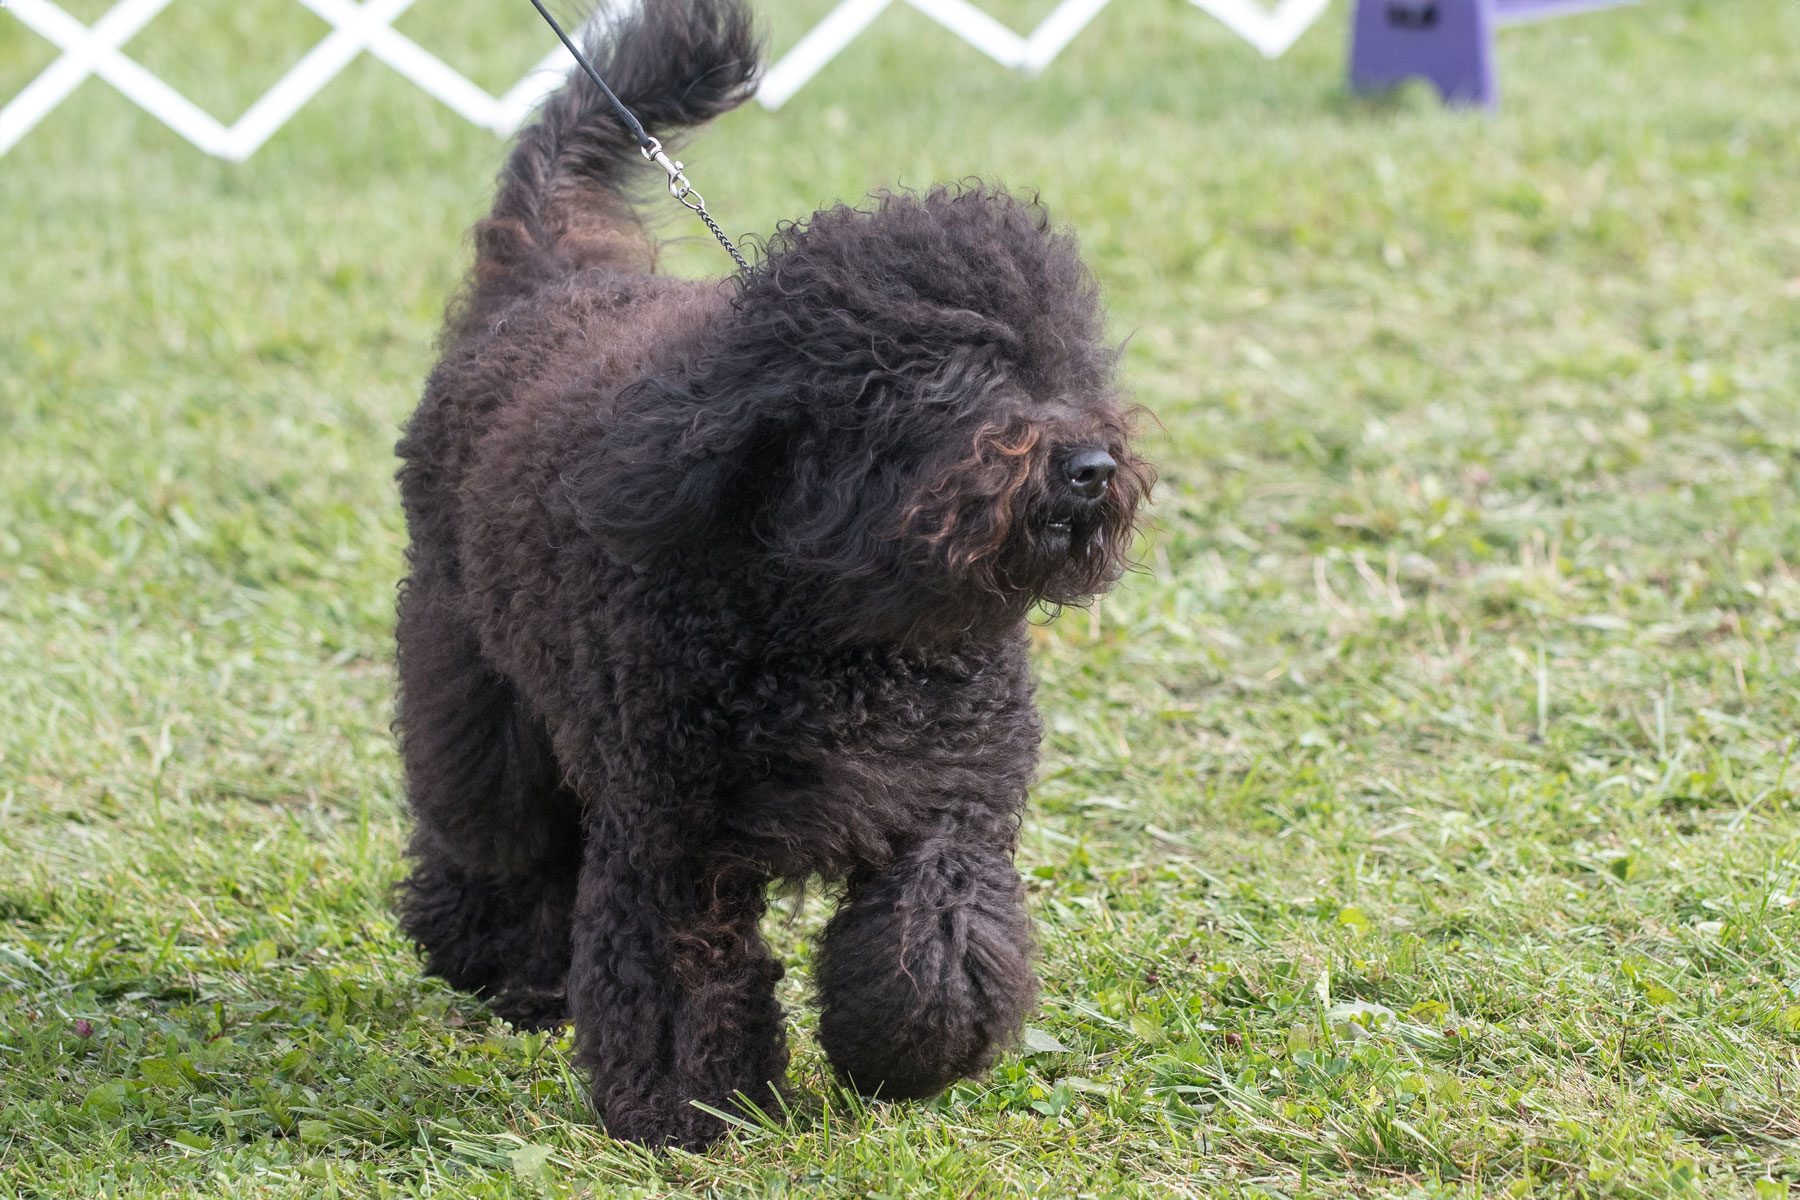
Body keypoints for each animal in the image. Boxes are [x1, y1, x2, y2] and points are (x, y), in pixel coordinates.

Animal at [394, 0, 1152, 1151]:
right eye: (950, 377)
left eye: (1068, 366)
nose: (1092, 466)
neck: (849, 632)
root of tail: (548, 277)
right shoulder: (674, 838)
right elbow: (675, 977)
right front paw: (684, 1107)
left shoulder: (948, 807)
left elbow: (937, 934)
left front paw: (906, 1052)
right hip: (477, 685)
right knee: (499, 833)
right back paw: (500, 962)